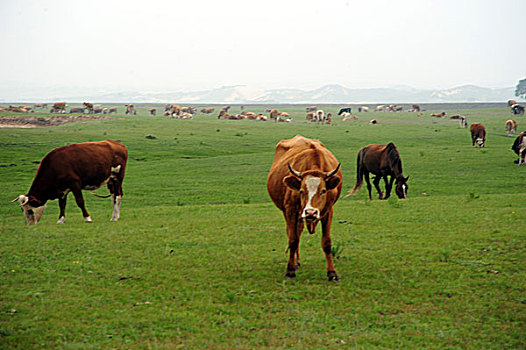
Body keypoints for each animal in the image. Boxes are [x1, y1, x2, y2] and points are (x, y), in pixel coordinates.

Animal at [268, 135, 346, 280]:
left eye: (323, 191)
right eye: (301, 191)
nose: (310, 212)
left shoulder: (328, 212)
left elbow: (327, 242)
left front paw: (332, 272)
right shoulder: (291, 210)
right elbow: (293, 239)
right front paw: (290, 270)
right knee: (293, 234)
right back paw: (295, 263)